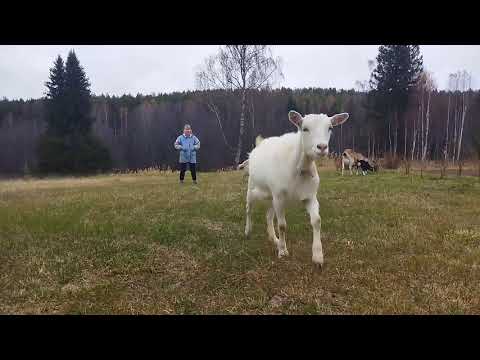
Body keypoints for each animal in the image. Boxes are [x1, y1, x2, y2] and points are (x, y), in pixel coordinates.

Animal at [244, 110, 348, 268]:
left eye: (330, 128)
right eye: (304, 128)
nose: (322, 147)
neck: (299, 169)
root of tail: (261, 143)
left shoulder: (310, 196)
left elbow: (317, 221)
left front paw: (318, 257)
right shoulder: (279, 197)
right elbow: (282, 225)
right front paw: (283, 252)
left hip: (272, 196)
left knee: (268, 215)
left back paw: (273, 238)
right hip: (253, 187)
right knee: (249, 208)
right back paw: (248, 231)